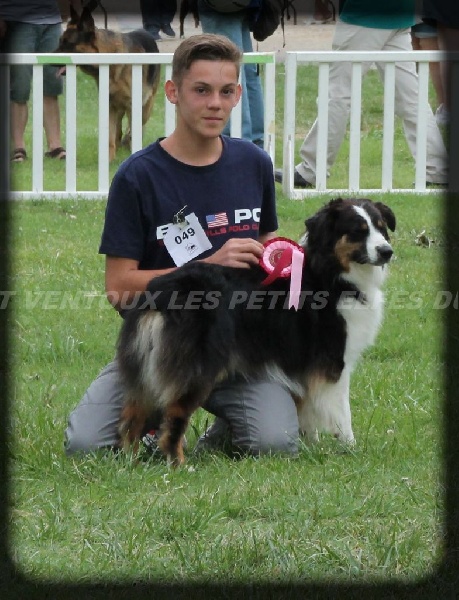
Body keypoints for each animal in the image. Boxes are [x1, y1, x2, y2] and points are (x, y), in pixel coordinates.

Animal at [117, 197, 396, 464]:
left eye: (381, 227)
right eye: (357, 231)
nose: (387, 251)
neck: (330, 271)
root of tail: (161, 290)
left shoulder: (301, 364)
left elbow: (307, 411)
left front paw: (311, 447)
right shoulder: (333, 363)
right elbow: (341, 413)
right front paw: (350, 449)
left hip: (143, 368)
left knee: (131, 415)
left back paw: (128, 463)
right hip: (196, 365)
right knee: (173, 415)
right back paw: (178, 464)